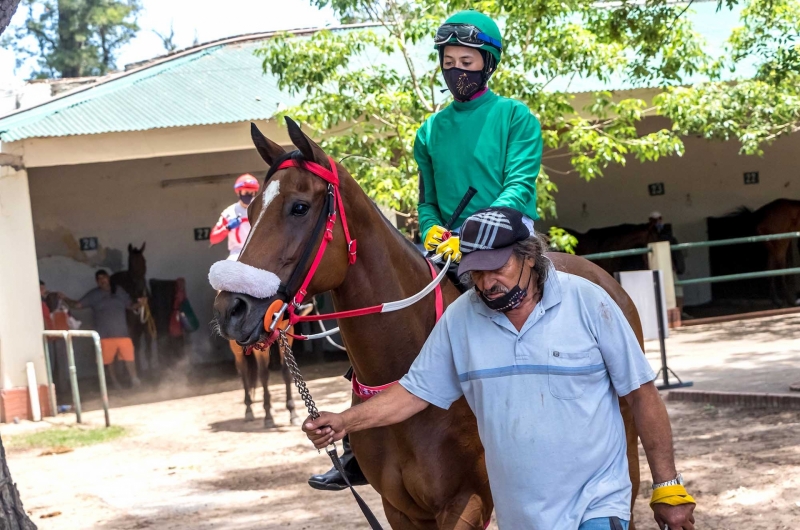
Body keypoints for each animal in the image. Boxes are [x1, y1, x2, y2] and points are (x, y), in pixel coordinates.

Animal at [212, 119, 644, 528]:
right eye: (250, 212)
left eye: (299, 207)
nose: (231, 309)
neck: (408, 367)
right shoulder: (399, 510)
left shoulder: (466, 502)